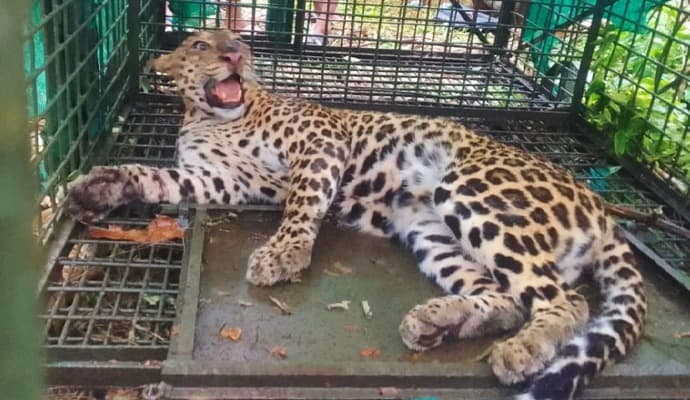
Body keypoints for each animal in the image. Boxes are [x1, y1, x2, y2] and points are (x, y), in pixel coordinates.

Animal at [67, 30, 647, 400]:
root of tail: (603, 209)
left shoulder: (320, 140)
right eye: (200, 44)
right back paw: (439, 320)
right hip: (429, 231)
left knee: (566, 301)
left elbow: (303, 201)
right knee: (505, 296)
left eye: (239, 41)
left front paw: (285, 253)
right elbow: (157, 176)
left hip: (471, 192)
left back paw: (522, 351)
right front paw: (102, 186)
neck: (210, 117)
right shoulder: (220, 179)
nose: (236, 53)